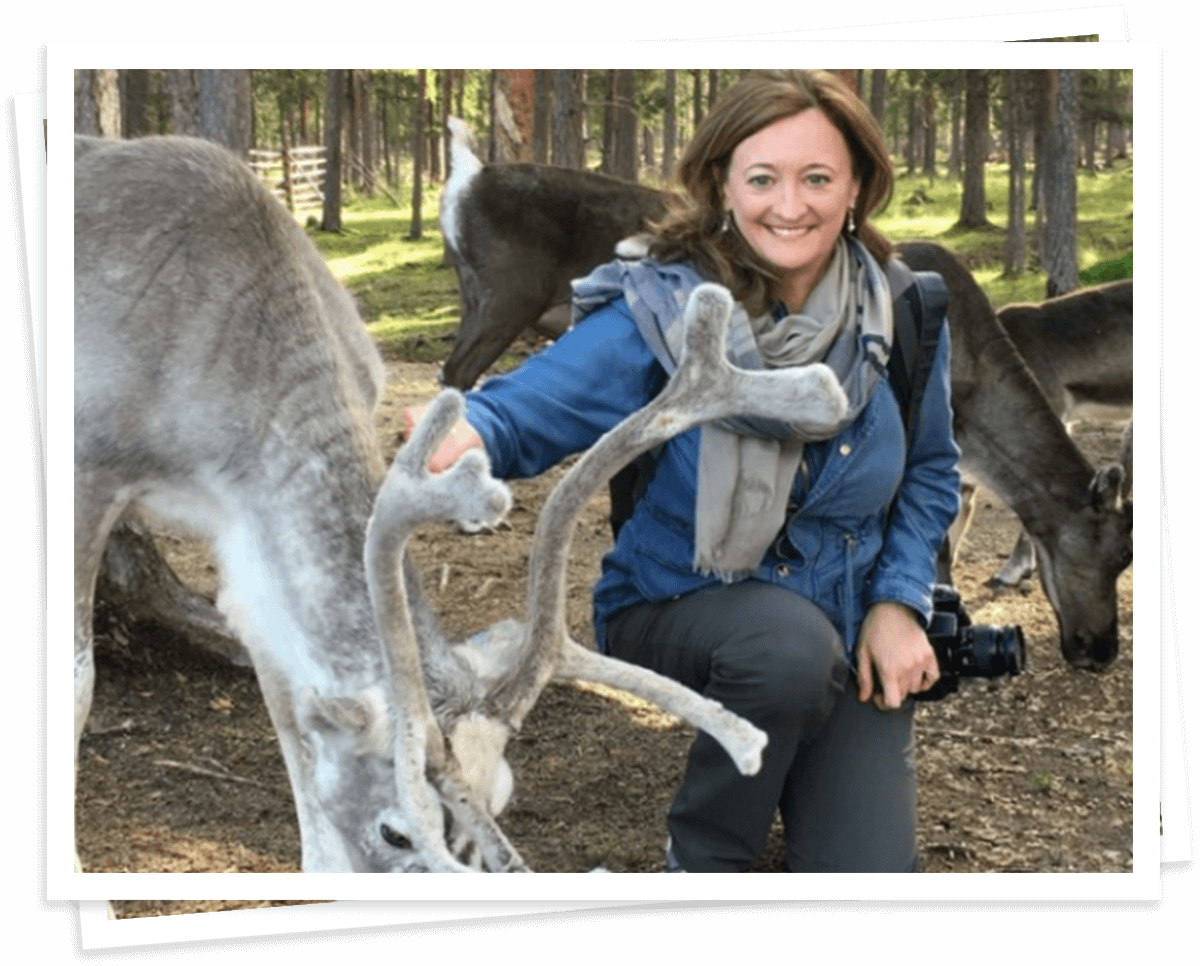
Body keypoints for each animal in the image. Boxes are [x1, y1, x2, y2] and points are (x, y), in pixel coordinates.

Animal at [75, 134, 847, 874]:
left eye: (502, 795)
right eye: (397, 828)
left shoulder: (250, 535)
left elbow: (292, 712)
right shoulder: (91, 469)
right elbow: (80, 685)